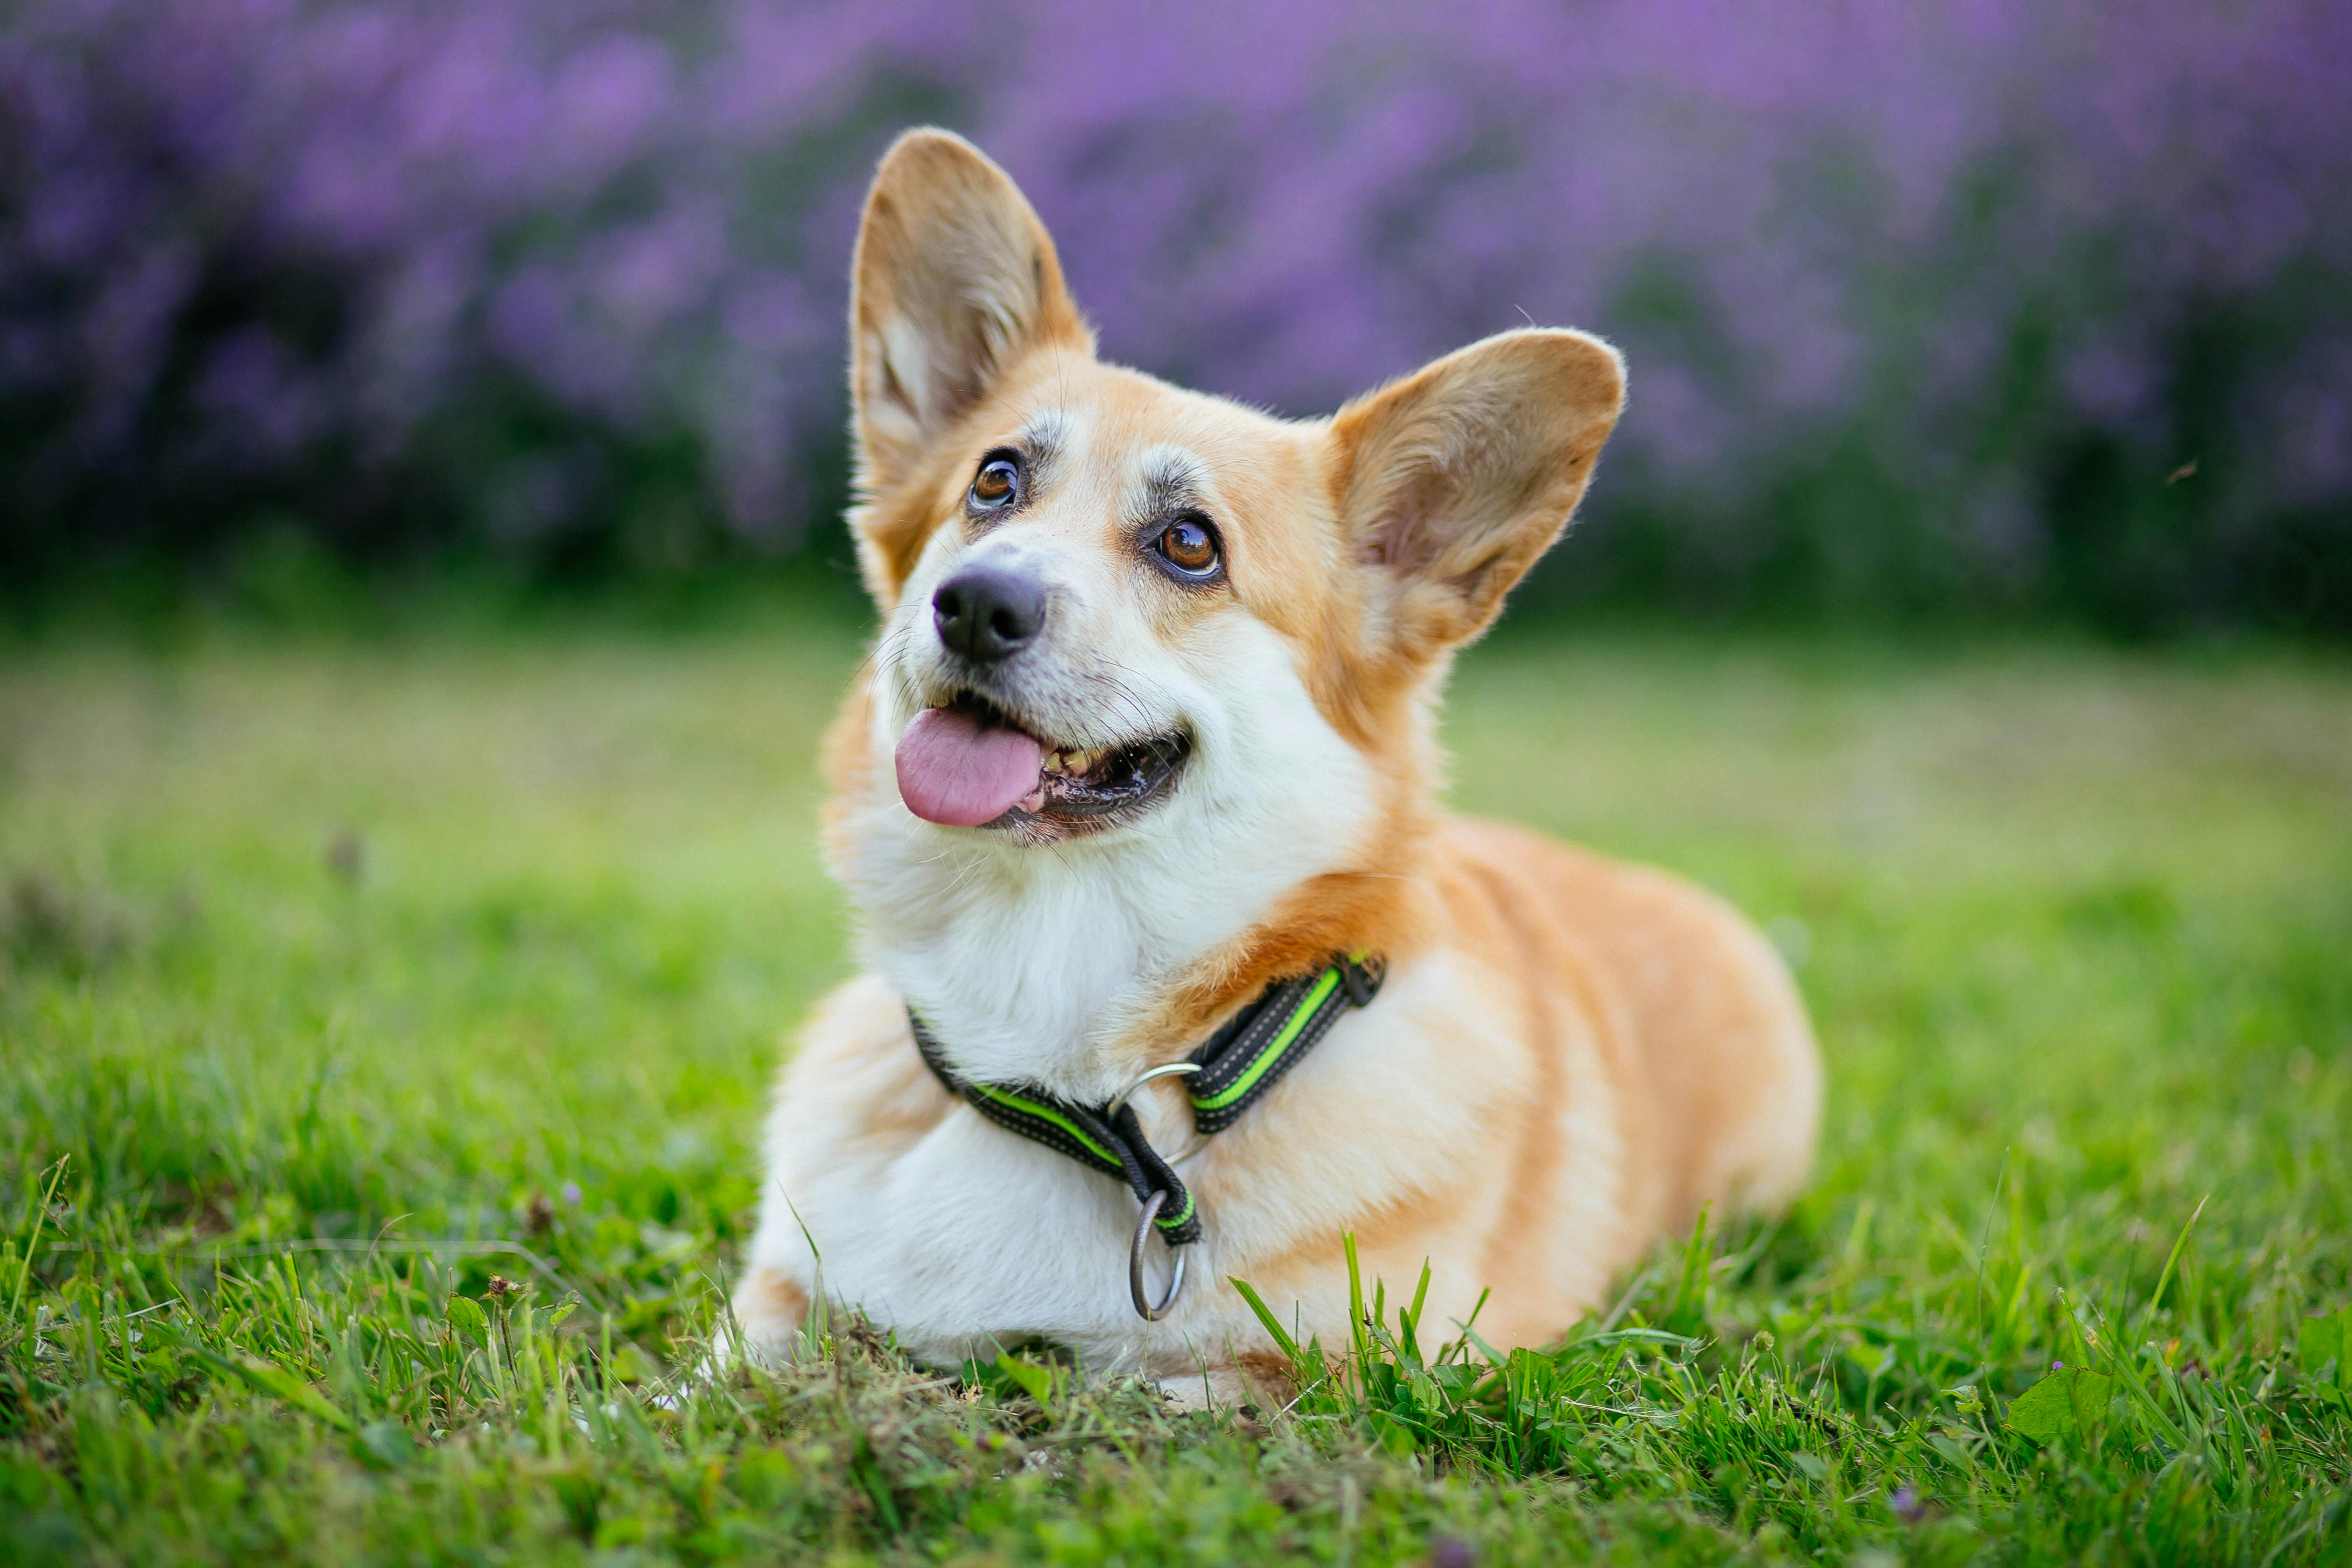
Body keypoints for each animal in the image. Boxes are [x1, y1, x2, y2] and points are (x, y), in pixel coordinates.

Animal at [734, 126, 1815, 1401]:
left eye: (1189, 544)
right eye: (994, 483)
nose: (976, 604)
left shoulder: (1359, 1373)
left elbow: (1172, 1388)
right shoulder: (778, 1301)